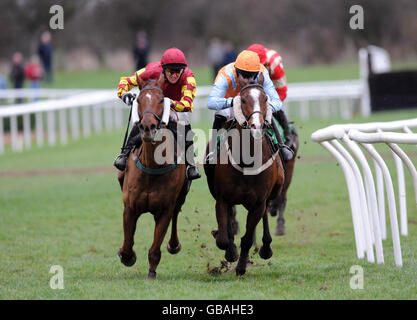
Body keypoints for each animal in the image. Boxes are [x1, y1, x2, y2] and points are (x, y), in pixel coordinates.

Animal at [115, 74, 190, 278]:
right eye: (139, 99)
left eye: (161, 100)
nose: (148, 126)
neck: (152, 166)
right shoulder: (130, 207)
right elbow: (127, 242)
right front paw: (127, 256)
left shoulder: (164, 210)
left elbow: (156, 248)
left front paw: (151, 272)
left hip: (181, 194)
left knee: (177, 213)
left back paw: (174, 245)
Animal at [203, 79, 284, 276]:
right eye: (244, 100)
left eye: (265, 98)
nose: (256, 127)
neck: (247, 161)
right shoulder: (222, 199)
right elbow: (223, 238)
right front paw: (231, 252)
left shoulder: (258, 202)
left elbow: (247, 238)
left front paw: (241, 267)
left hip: (273, 191)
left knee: (266, 212)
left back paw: (266, 248)